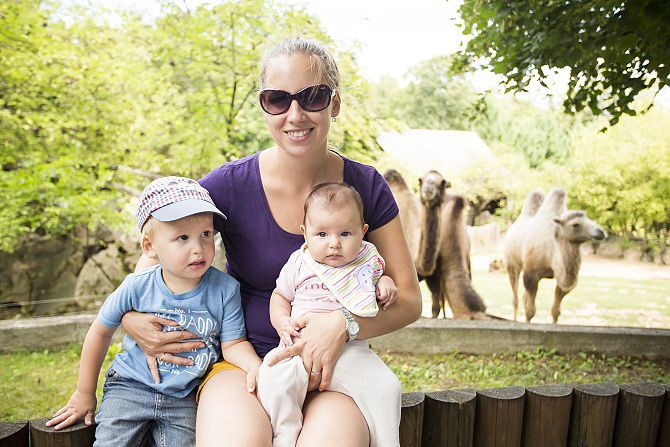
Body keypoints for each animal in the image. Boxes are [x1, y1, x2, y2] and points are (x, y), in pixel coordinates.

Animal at [504, 187, 608, 324]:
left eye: (590, 219)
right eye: (575, 224)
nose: (600, 232)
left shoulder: (562, 281)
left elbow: (556, 311)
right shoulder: (531, 275)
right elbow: (530, 310)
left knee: (523, 297)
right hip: (511, 263)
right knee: (515, 298)